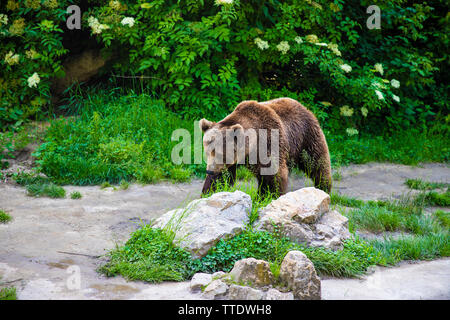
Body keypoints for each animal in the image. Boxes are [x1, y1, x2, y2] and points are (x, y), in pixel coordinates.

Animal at [200, 96, 330, 196]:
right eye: (207, 153)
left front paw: (269, 196)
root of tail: (304, 107)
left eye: (220, 154)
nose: (209, 171)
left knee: (317, 163)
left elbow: (274, 175)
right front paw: (208, 192)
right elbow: (223, 178)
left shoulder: (269, 142)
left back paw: (324, 187)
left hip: (306, 137)